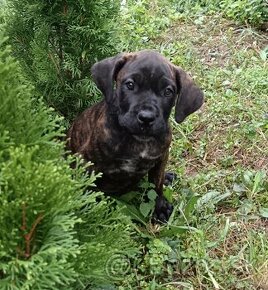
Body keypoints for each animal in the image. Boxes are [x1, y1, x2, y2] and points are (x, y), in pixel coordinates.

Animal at [67, 50, 203, 222]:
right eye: (130, 85)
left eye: (168, 91)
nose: (146, 118)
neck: (138, 141)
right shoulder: (85, 160)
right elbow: (86, 188)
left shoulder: (162, 156)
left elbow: (156, 185)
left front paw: (159, 207)